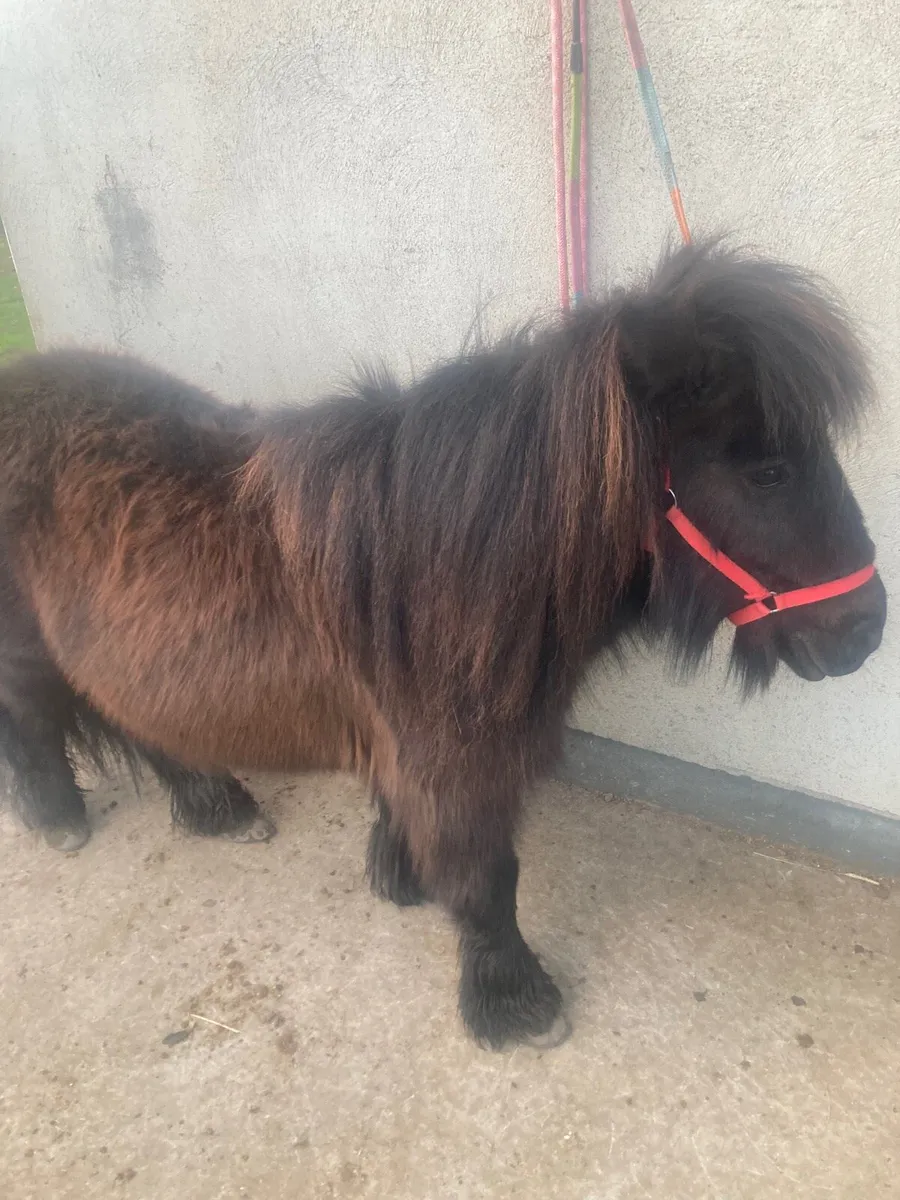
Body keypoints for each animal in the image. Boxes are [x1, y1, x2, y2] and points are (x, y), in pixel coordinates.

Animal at [0, 241, 885, 1050]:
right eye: (768, 472)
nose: (866, 629)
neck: (430, 564)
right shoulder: (459, 764)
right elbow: (487, 880)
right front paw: (515, 1004)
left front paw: (399, 874)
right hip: (27, 657)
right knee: (33, 722)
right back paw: (61, 819)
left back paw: (214, 806)